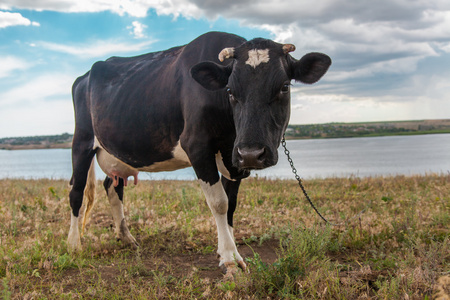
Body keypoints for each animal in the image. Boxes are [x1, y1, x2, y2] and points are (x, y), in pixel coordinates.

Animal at [68, 31, 332, 276]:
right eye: (230, 90)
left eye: (284, 87)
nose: (252, 153)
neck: (231, 136)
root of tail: (85, 76)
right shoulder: (197, 146)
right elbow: (219, 203)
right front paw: (229, 259)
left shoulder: (234, 159)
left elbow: (231, 204)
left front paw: (228, 248)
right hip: (81, 141)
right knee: (76, 191)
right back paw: (74, 244)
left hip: (117, 154)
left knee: (113, 187)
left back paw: (126, 238)